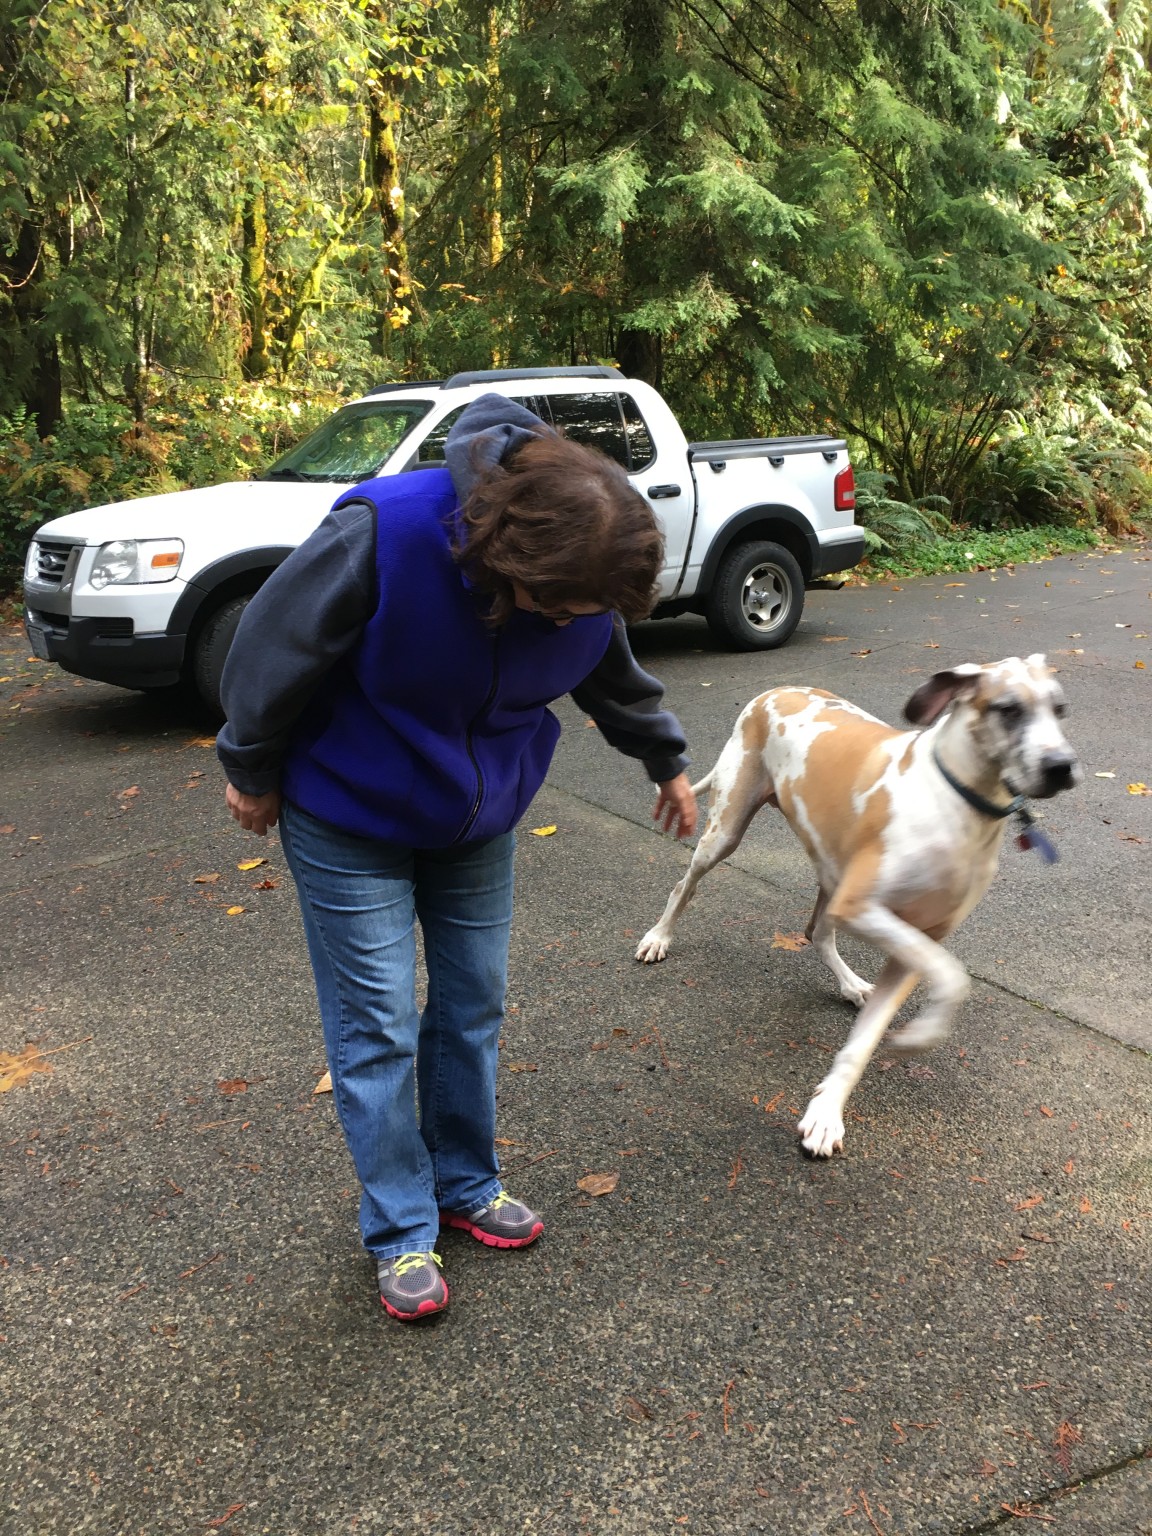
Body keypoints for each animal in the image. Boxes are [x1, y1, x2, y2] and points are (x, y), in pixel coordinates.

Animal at [636, 655, 1079, 1156]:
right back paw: (659, 937)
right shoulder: (866, 910)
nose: (1061, 766)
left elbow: (870, 1036)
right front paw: (917, 1038)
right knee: (684, 886)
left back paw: (849, 984)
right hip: (725, 834)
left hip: (830, 870)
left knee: (816, 932)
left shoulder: (914, 940)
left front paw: (829, 1109)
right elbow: (953, 974)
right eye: (1008, 709)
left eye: (1060, 709)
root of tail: (770, 692)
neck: (956, 804)